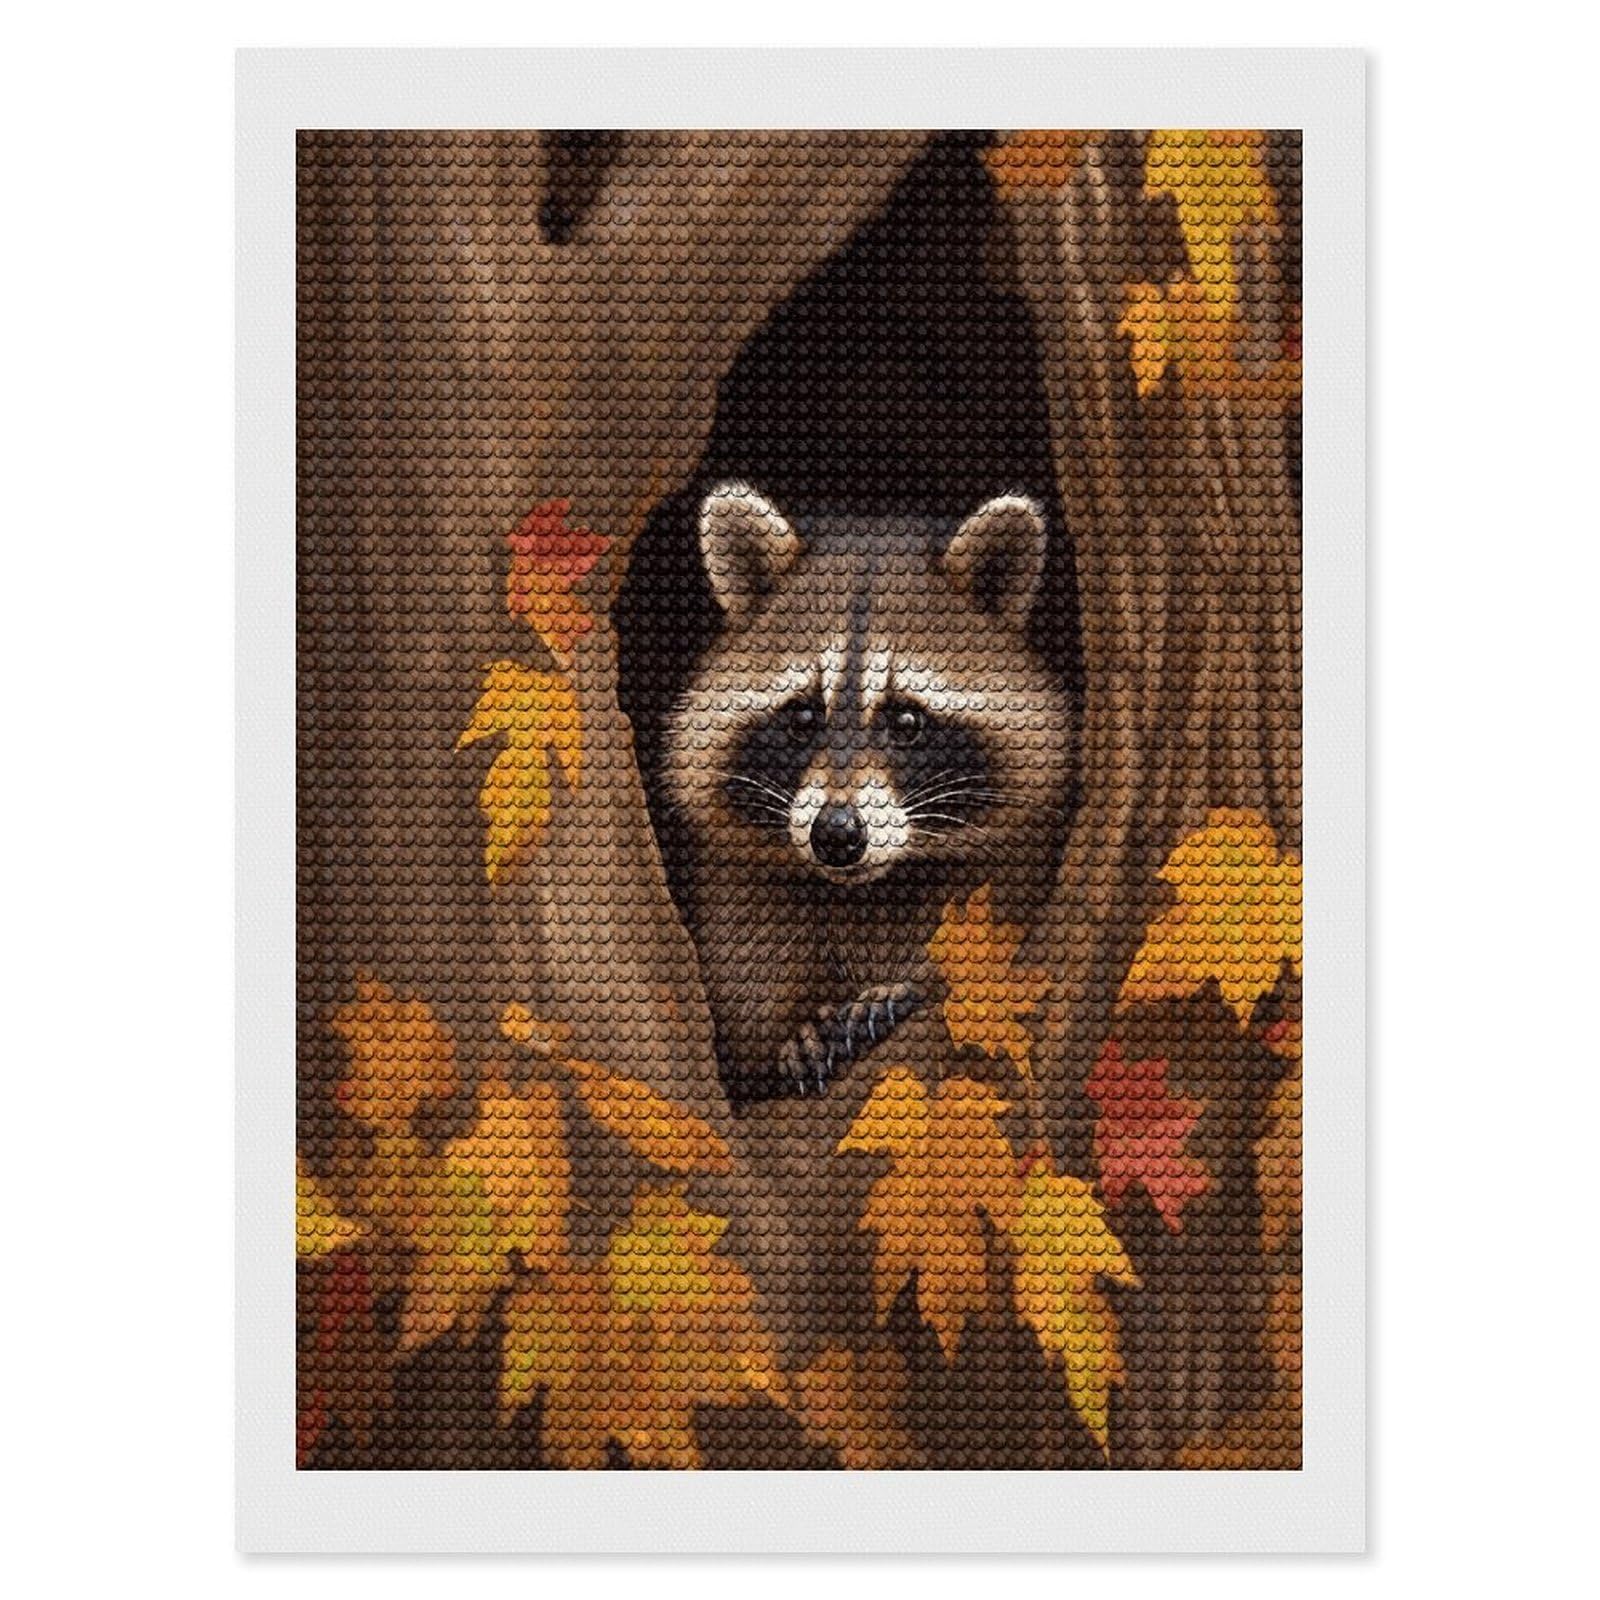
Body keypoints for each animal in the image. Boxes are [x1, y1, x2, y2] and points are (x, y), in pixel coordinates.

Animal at [662, 482, 1075, 1101]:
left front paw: (905, 987)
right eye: (803, 716)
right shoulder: (738, 892)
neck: (868, 890)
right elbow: (745, 999)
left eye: (905, 721)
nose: (836, 834)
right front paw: (787, 1033)